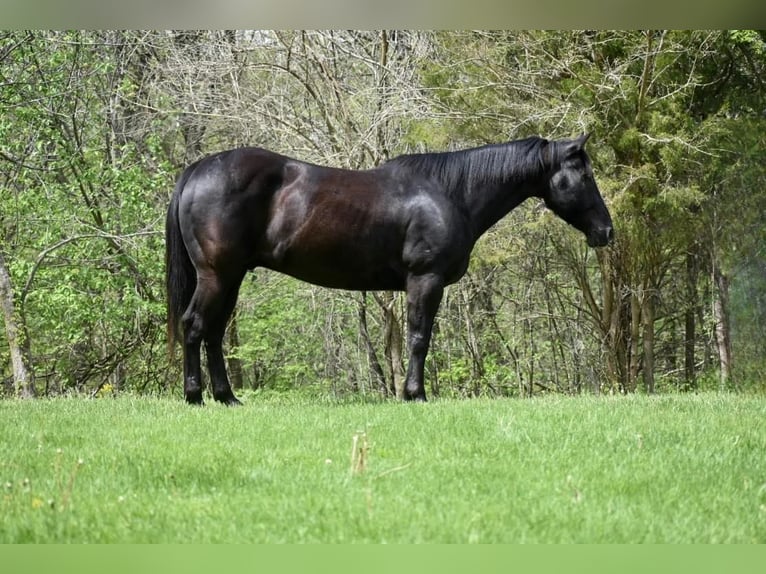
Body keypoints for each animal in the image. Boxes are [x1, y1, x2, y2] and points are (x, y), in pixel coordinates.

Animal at [165, 134, 616, 404]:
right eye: (584, 175)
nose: (606, 231)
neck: (450, 192)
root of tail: (199, 169)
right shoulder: (425, 280)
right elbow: (419, 338)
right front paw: (415, 394)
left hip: (232, 278)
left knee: (213, 334)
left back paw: (227, 397)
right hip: (217, 275)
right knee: (194, 326)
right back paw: (195, 396)